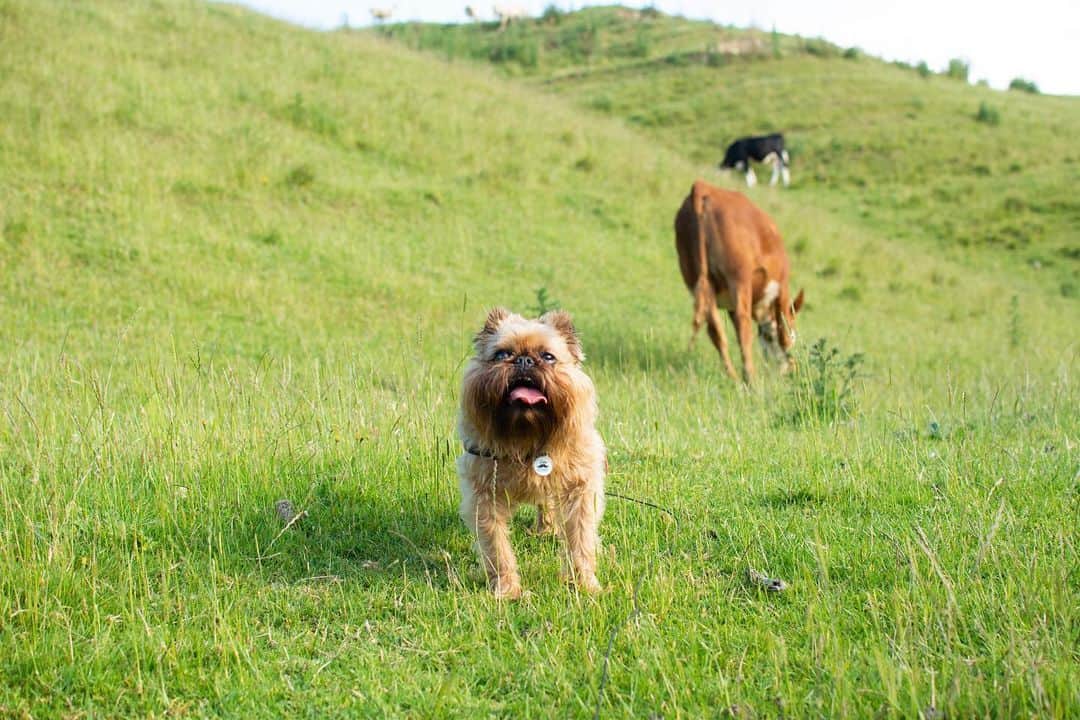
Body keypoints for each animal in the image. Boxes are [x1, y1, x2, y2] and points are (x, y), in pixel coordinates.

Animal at [674, 179, 804, 383]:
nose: (787, 371)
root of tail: (703, 186)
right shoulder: (782, 289)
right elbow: (783, 331)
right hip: (739, 278)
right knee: (744, 326)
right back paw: (750, 378)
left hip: (697, 279)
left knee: (715, 330)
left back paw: (733, 376)